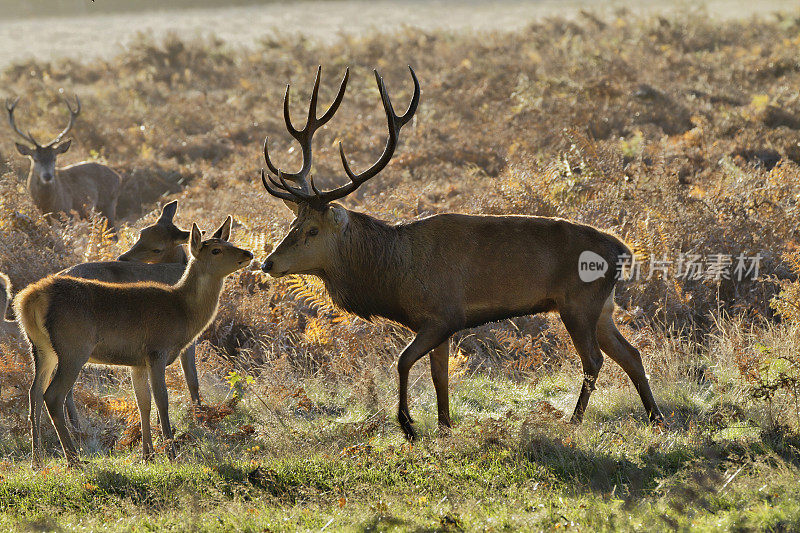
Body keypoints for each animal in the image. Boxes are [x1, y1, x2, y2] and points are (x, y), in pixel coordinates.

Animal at [6, 94, 122, 228]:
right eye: (35, 159)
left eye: (54, 158)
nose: (47, 176)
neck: (48, 205)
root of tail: (118, 177)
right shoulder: (45, 216)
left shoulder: (67, 213)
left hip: (109, 204)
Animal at [15, 216, 253, 466]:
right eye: (216, 250)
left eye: (229, 242)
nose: (248, 253)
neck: (183, 312)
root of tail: (29, 300)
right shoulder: (157, 350)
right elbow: (162, 399)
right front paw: (171, 452)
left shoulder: (137, 362)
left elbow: (143, 403)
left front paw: (147, 455)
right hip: (74, 347)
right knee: (53, 395)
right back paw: (73, 458)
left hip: (41, 348)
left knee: (34, 392)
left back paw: (37, 459)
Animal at [260, 67, 664, 440]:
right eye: (293, 224)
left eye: (312, 230)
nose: (267, 263)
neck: (394, 279)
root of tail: (623, 251)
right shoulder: (434, 324)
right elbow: (439, 375)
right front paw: (444, 426)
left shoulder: (443, 315)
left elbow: (403, 362)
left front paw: (408, 425)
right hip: (602, 307)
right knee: (631, 354)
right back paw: (656, 418)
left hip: (578, 302)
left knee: (594, 359)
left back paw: (575, 421)